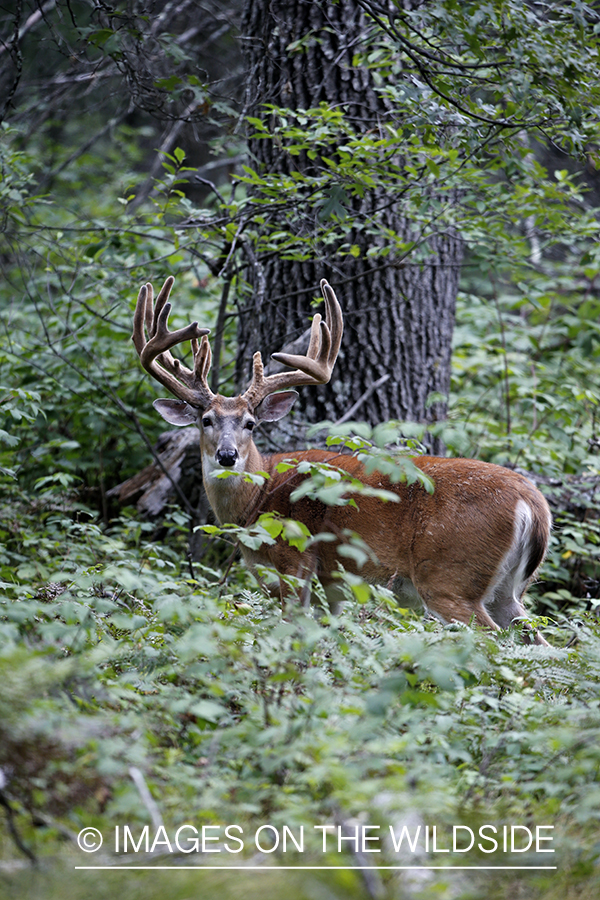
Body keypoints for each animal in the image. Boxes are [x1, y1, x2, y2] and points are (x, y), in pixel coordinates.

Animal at [134, 278, 552, 644]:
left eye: (250, 424)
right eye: (206, 420)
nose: (226, 455)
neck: (258, 500)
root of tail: (533, 505)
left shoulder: (295, 561)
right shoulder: (331, 586)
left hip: (450, 576)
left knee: (491, 639)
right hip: (508, 590)